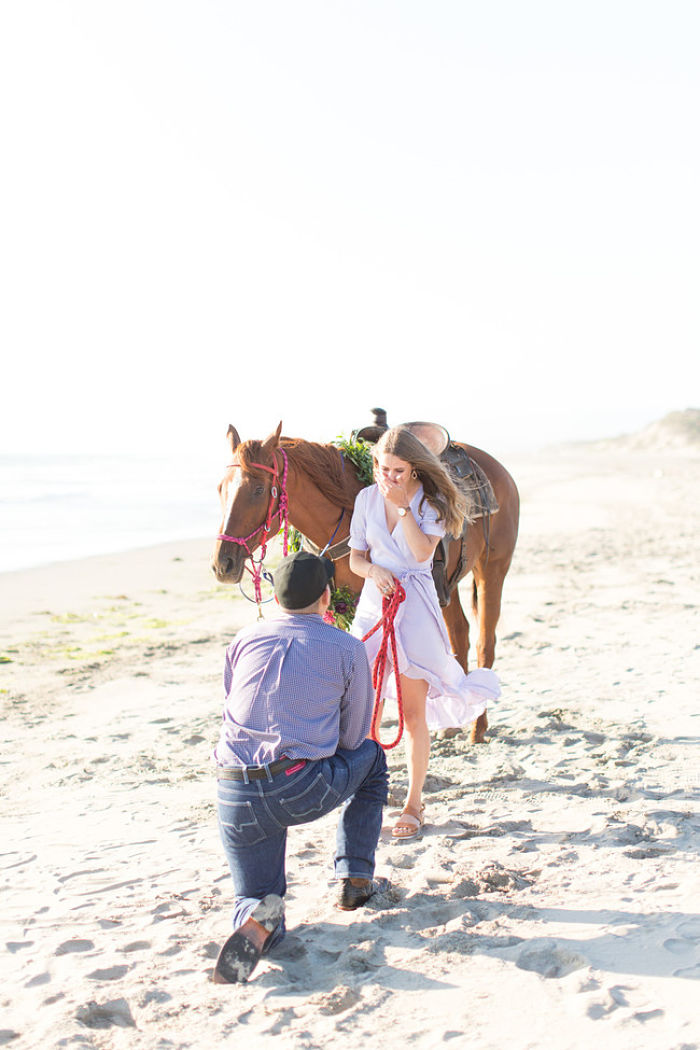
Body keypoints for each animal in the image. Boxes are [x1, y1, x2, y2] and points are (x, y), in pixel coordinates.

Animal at [211, 422, 520, 743]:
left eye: (259, 489)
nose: (223, 564)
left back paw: (478, 727)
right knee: (459, 635)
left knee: (485, 643)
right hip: (445, 587)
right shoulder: (336, 609)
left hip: (492, 570)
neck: (341, 517)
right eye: (221, 488)